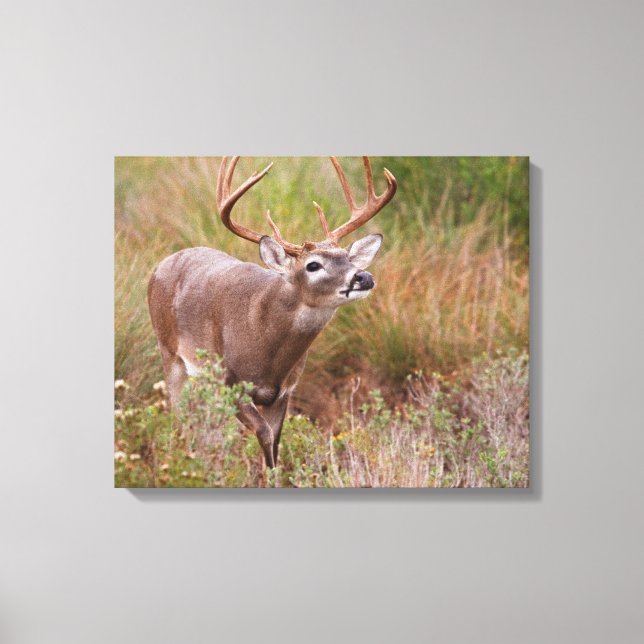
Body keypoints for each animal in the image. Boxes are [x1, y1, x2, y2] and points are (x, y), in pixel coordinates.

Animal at [147, 156, 397, 468]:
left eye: (346, 258)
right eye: (313, 265)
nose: (363, 277)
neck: (267, 346)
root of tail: (160, 265)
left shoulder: (284, 392)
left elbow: (275, 444)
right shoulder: (232, 383)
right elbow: (264, 435)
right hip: (168, 350)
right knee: (177, 415)